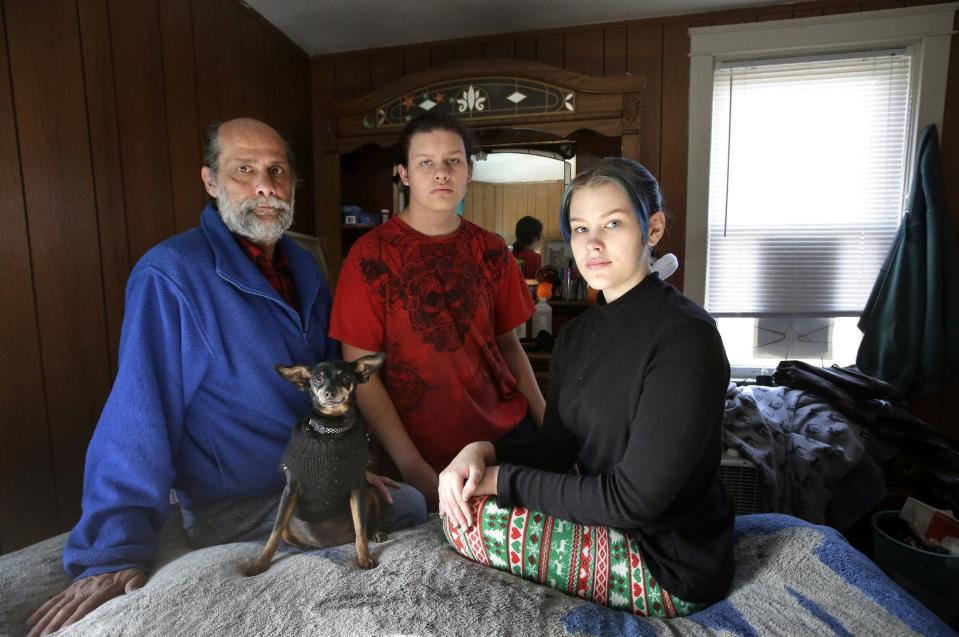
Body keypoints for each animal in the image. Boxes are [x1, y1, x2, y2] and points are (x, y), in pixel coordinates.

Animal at [248, 352, 390, 576]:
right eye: (317, 379)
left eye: (344, 378)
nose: (329, 392)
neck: (331, 431)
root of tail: (331, 543)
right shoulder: (290, 490)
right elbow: (274, 533)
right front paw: (261, 563)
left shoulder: (358, 488)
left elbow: (360, 528)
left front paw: (365, 557)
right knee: (285, 532)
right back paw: (308, 546)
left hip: (371, 490)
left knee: (371, 521)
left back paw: (377, 532)